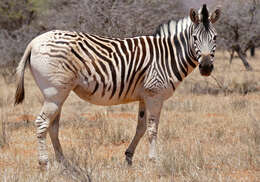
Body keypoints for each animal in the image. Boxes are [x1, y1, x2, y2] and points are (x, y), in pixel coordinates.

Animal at [14, 4, 220, 167]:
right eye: (195, 38)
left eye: (215, 38)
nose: (206, 67)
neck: (168, 56)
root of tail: (34, 41)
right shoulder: (155, 95)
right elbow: (152, 129)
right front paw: (154, 161)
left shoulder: (145, 96)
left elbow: (141, 127)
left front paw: (129, 157)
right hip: (54, 92)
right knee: (42, 123)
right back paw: (44, 163)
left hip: (58, 94)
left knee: (53, 126)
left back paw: (63, 162)